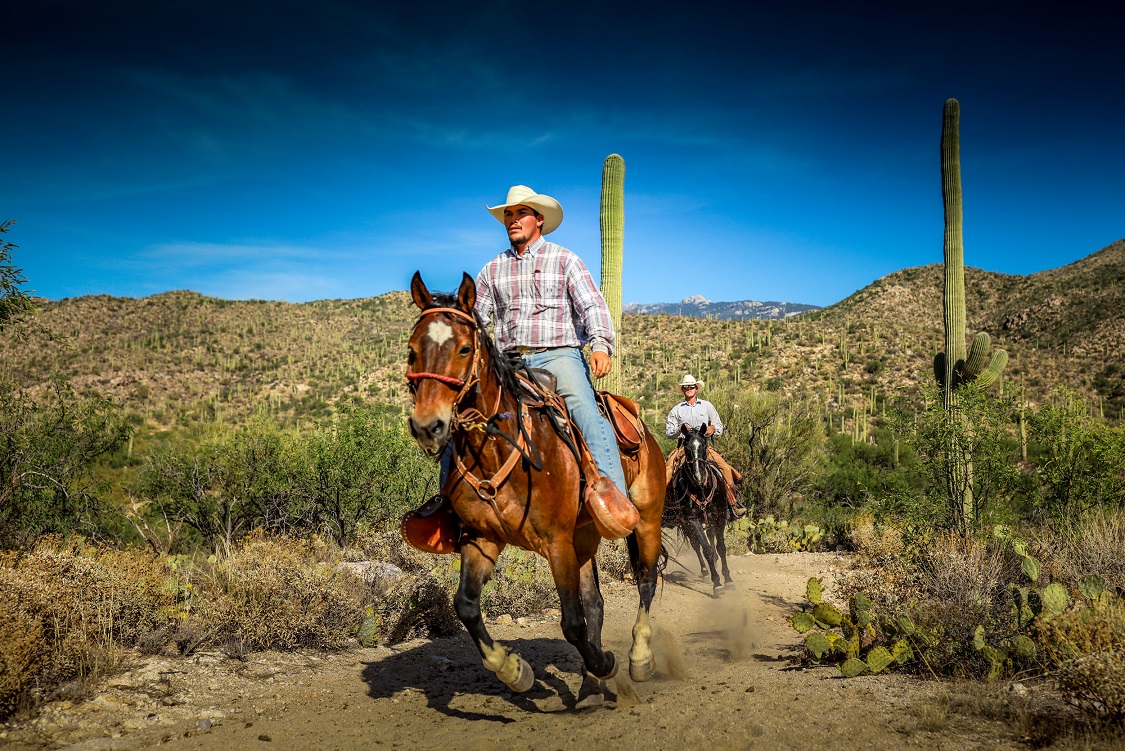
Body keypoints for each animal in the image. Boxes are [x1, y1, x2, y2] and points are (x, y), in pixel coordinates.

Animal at [407, 273, 661, 706]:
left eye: (463, 348)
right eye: (411, 352)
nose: (429, 425)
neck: (499, 449)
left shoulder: (556, 541)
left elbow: (572, 622)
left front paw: (605, 664)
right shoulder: (481, 539)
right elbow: (466, 606)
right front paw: (515, 671)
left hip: (646, 522)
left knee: (645, 581)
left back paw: (638, 658)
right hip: (585, 534)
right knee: (596, 603)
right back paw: (591, 687)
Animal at [661, 422, 733, 593]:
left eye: (704, 445)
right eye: (686, 447)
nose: (699, 476)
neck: (701, 489)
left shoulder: (720, 516)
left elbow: (721, 547)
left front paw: (727, 579)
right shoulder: (692, 520)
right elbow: (705, 548)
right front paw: (717, 582)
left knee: (710, 538)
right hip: (686, 524)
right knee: (696, 545)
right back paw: (705, 570)